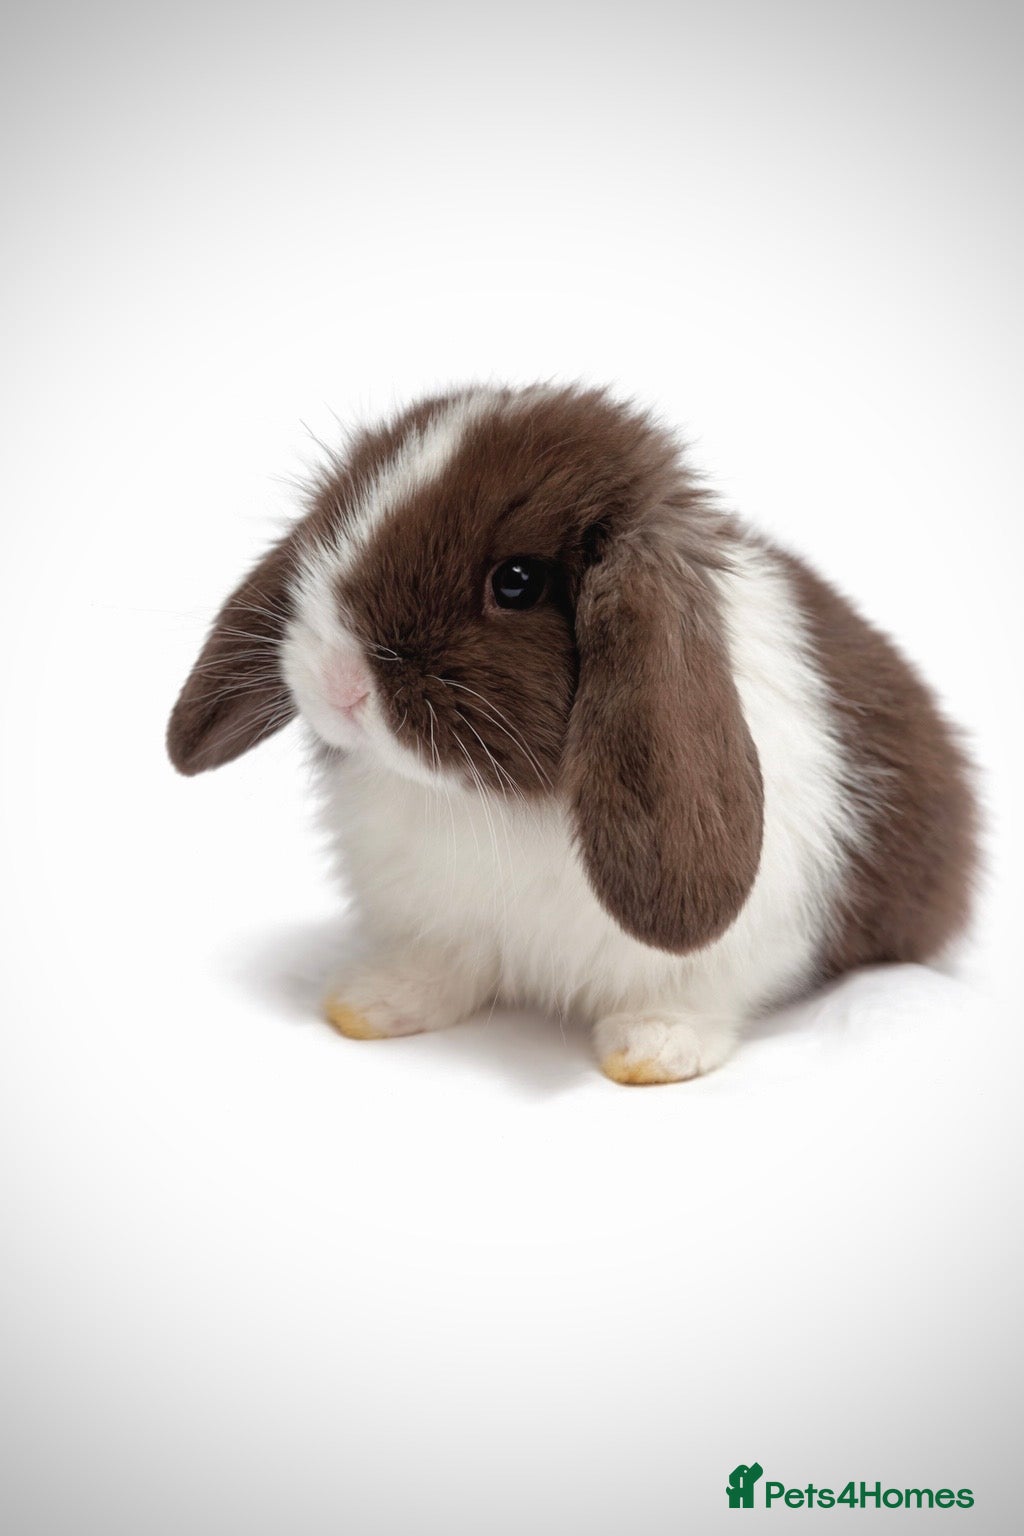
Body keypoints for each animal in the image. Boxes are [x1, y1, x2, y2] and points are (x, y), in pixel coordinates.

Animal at [167, 383, 979, 1084]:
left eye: (517, 582)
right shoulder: (439, 919)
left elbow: (691, 997)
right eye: (338, 526)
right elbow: (441, 965)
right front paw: (372, 1002)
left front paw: (654, 1050)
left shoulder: (733, 947)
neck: (493, 804)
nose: (337, 680)